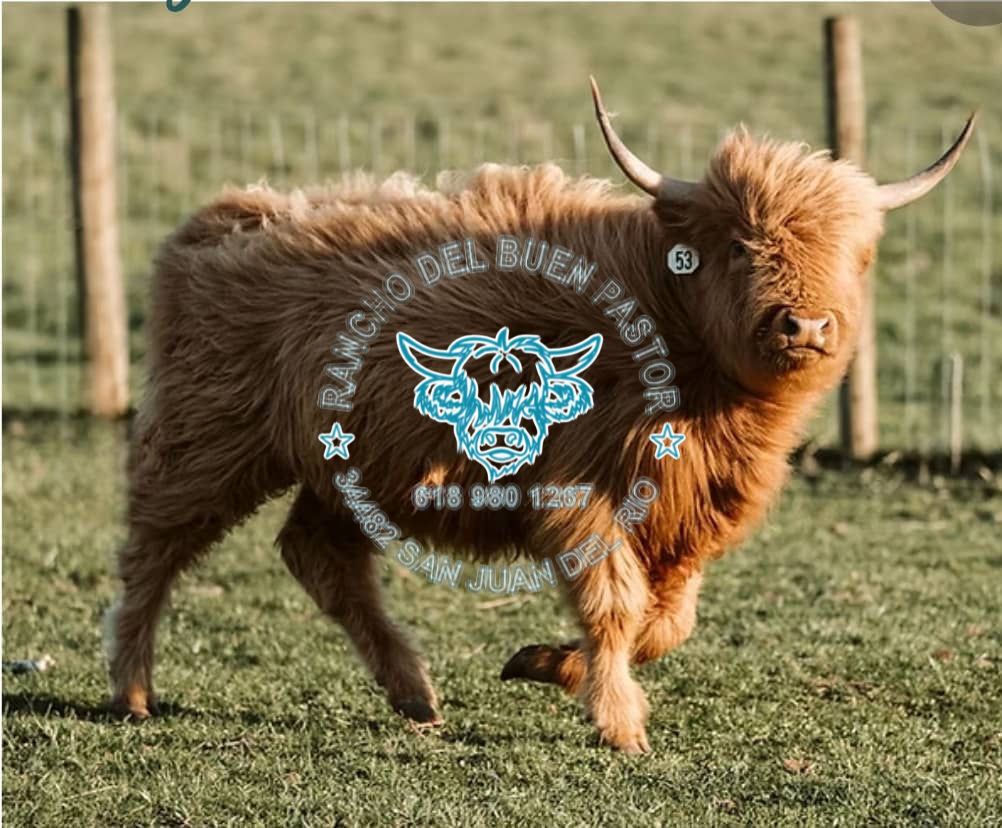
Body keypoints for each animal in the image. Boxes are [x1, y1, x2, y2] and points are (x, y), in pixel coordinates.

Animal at [105, 78, 974, 753]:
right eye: (740, 246)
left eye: (857, 254)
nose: (807, 326)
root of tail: (227, 215)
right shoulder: (580, 493)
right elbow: (617, 603)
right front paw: (618, 722)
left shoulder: (690, 510)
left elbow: (668, 621)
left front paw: (546, 665)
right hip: (205, 438)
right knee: (153, 549)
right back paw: (132, 690)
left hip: (349, 463)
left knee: (318, 556)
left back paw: (414, 694)